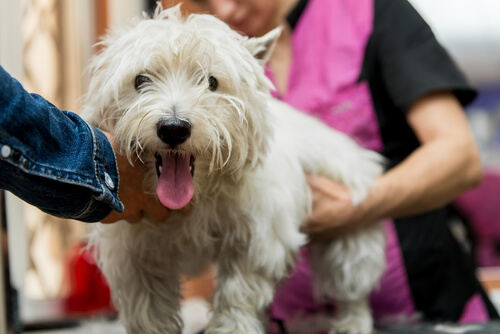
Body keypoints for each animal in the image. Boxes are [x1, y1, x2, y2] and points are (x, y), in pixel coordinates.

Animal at [81, 4, 386, 334]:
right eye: (140, 80)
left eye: (211, 82)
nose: (174, 128)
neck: (195, 199)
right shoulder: (135, 255)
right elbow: (150, 311)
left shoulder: (256, 238)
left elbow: (237, 294)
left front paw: (233, 327)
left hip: (350, 237)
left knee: (352, 291)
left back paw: (352, 322)